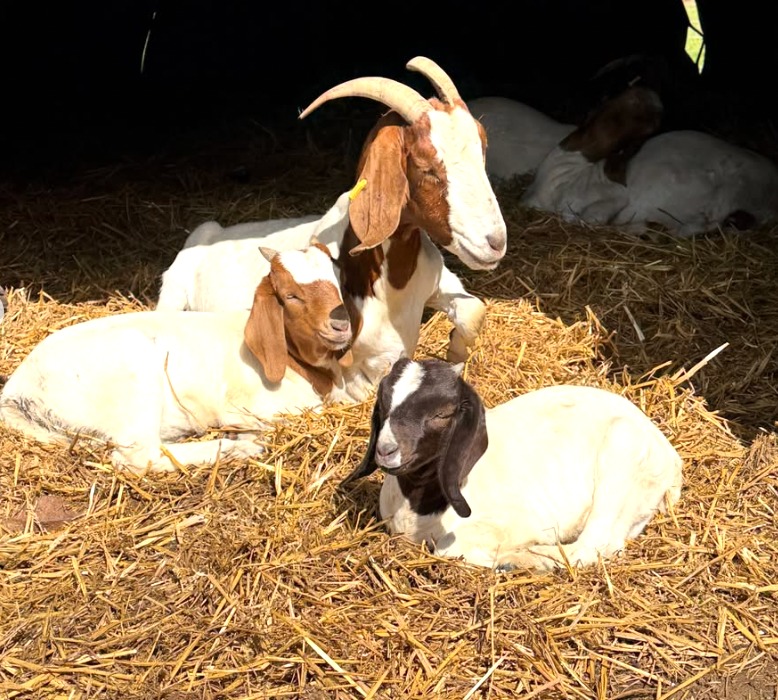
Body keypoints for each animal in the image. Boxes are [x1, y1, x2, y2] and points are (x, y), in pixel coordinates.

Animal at [0, 243, 353, 474]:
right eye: (291, 296)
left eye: (337, 283)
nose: (340, 324)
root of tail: (17, 390)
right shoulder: (247, 406)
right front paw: (243, 435)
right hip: (135, 374)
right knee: (140, 457)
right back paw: (238, 447)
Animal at [157, 57, 507, 401]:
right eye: (426, 168)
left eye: (483, 152)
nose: (496, 242)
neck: (391, 284)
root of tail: (212, 232)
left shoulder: (437, 279)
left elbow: (474, 309)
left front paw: (456, 350)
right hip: (172, 288)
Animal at [341, 357, 682, 571]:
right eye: (384, 404)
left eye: (442, 414)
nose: (386, 450)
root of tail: (669, 455)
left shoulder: (521, 520)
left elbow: (452, 550)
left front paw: (513, 556)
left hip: (622, 456)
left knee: (593, 546)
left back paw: (536, 559)